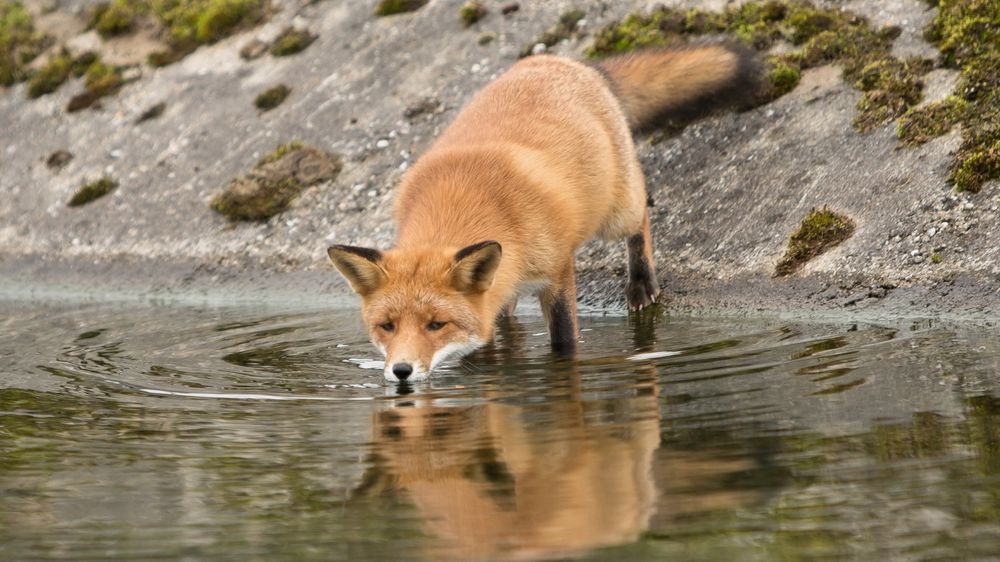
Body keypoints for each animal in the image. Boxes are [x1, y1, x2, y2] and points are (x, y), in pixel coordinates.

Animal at [328, 41, 756, 378]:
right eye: (386, 326)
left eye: (436, 324)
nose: (401, 371)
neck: (461, 202)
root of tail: (565, 61)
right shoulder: (491, 295)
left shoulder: (557, 269)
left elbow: (564, 338)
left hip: (617, 213)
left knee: (642, 218)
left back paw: (641, 283)